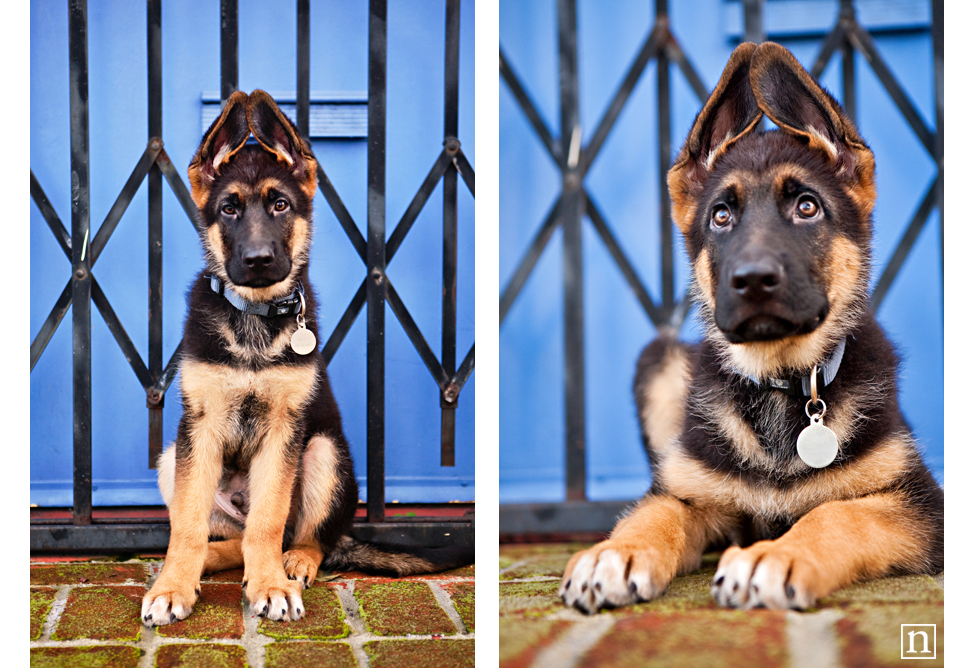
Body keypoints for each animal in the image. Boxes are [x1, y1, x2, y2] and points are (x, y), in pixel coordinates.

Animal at [144, 90, 472, 628]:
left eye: (280, 204)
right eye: (228, 209)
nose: (258, 260)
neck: (254, 316)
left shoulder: (286, 429)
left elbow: (269, 519)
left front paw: (271, 586)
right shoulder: (200, 426)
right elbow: (188, 523)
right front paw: (173, 587)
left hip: (323, 452)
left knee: (302, 536)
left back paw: (293, 562)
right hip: (172, 459)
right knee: (231, 539)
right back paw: (208, 561)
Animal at [556, 43, 940, 616]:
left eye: (807, 207)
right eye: (721, 216)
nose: (753, 279)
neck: (782, 383)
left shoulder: (921, 504)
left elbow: (837, 513)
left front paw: (775, 557)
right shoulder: (691, 490)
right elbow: (656, 512)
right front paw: (614, 553)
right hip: (661, 360)